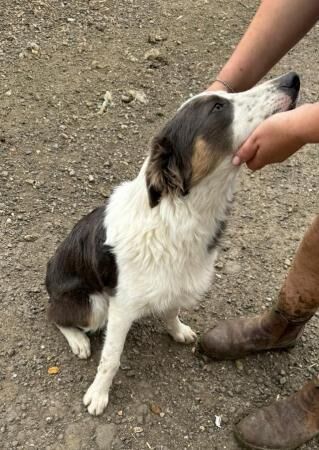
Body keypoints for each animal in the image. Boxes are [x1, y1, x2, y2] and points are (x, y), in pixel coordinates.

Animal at [45, 73, 300, 414]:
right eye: (218, 107)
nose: (292, 79)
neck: (178, 214)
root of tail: (49, 273)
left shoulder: (178, 280)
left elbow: (171, 311)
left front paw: (177, 330)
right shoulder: (121, 306)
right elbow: (111, 359)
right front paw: (98, 393)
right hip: (93, 305)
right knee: (55, 315)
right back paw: (78, 340)